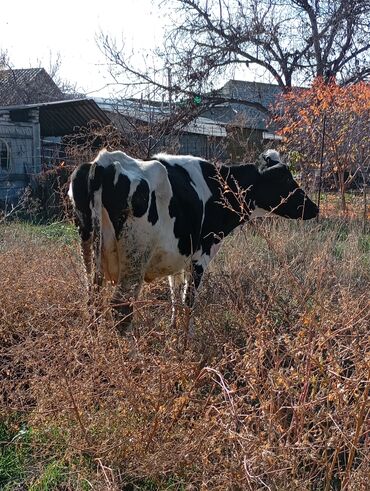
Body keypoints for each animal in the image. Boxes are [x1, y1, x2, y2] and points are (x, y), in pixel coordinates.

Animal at [68, 148, 318, 332]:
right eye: (285, 179)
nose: (315, 208)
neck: (218, 186)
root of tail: (104, 162)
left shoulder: (177, 255)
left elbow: (174, 294)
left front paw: (173, 330)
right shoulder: (200, 256)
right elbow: (188, 299)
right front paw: (185, 340)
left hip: (88, 250)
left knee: (93, 300)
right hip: (134, 259)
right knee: (121, 309)